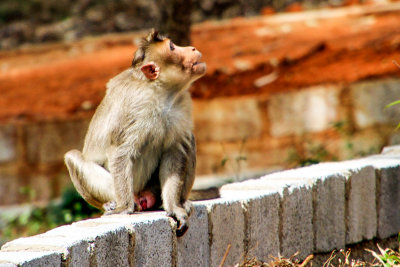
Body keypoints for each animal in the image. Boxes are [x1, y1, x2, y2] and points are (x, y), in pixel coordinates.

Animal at [64, 30, 206, 238]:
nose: (193, 48)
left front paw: (174, 207)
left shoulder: (181, 106)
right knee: (72, 157)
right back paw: (115, 204)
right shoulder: (134, 108)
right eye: (172, 47)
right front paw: (124, 208)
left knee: (190, 139)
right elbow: (120, 151)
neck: (162, 93)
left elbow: (174, 151)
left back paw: (177, 201)